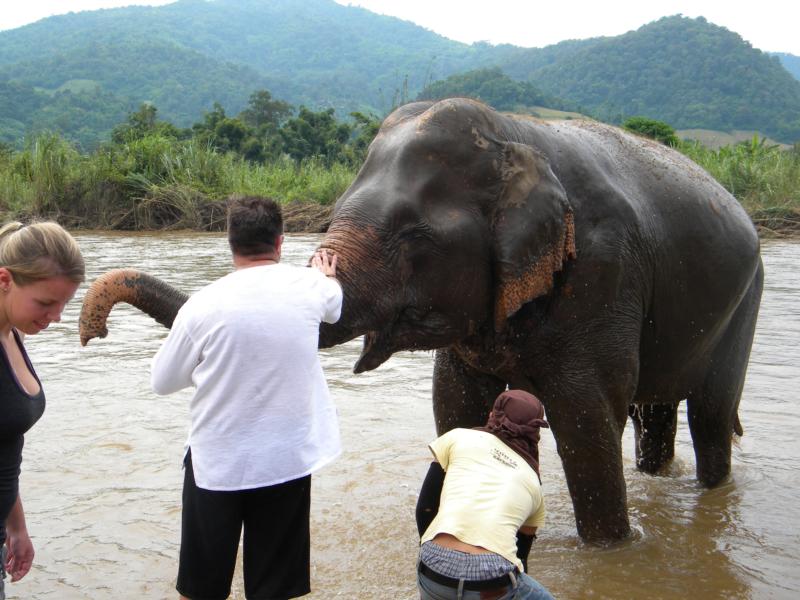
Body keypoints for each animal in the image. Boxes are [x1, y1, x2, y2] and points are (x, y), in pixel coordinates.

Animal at [79, 96, 764, 540]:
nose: (92, 330)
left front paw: (611, 552)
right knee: (657, 414)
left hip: (745, 301)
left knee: (707, 415)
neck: (516, 137)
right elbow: (453, 408)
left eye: (413, 236)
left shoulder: (603, 273)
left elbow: (586, 419)